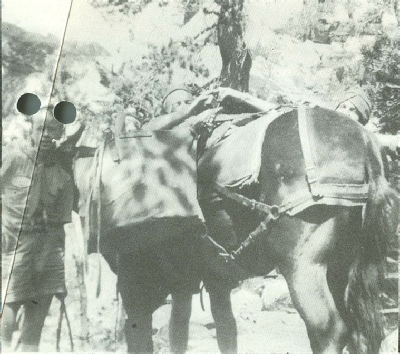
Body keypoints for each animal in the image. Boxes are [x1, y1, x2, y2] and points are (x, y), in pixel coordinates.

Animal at [70, 106, 398, 354]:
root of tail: (365, 144)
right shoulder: (204, 281)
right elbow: (210, 331)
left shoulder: (136, 289)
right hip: (344, 269)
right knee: (358, 331)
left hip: (304, 268)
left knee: (329, 331)